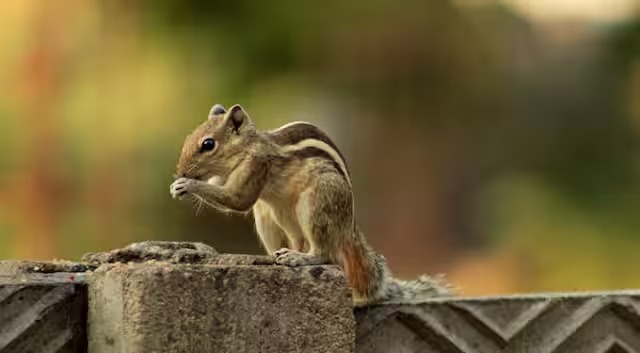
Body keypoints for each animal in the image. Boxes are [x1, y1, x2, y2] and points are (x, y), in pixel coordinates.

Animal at [168, 102, 452, 306]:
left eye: (208, 144)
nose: (180, 171)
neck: (248, 146)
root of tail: (348, 229)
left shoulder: (257, 164)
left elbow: (238, 199)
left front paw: (186, 185)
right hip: (270, 216)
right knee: (296, 241)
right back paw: (279, 256)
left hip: (316, 203)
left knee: (323, 254)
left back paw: (300, 258)